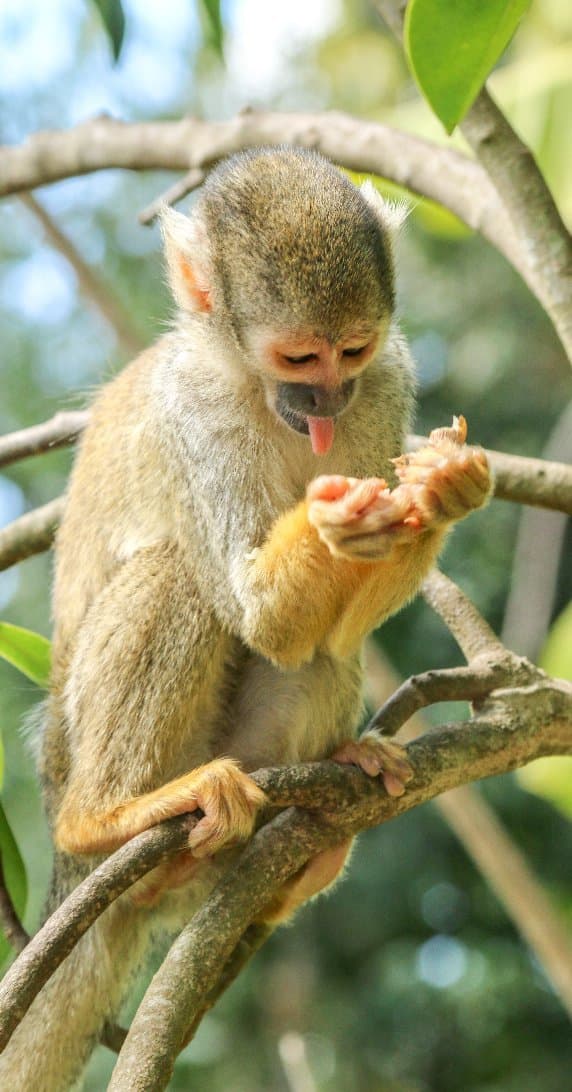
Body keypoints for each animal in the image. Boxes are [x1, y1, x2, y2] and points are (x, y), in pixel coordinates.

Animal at [0, 147, 491, 1090]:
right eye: (298, 357)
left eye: (352, 350)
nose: (328, 403)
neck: (259, 393)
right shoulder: (193, 413)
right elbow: (259, 614)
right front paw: (338, 522)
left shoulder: (389, 381)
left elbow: (320, 637)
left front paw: (446, 489)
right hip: (66, 767)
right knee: (178, 577)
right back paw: (108, 812)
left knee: (319, 656)